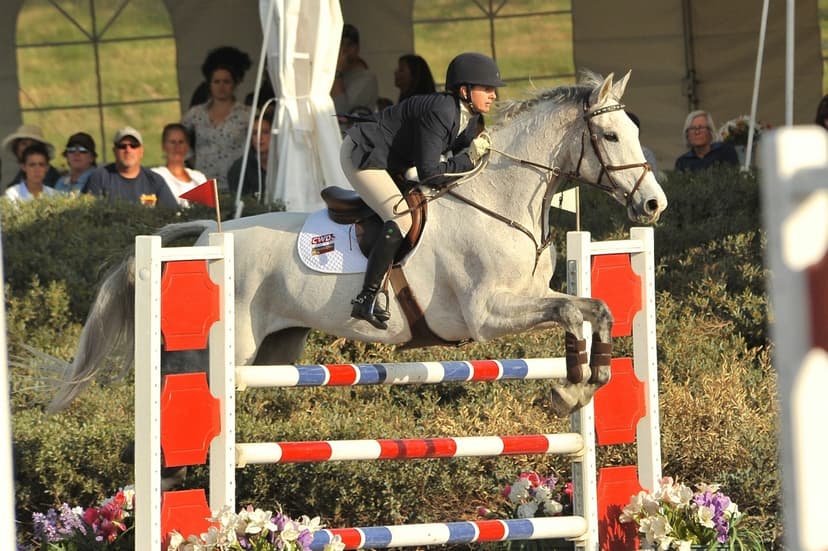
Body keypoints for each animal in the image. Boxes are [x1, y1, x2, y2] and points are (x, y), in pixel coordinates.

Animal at [46, 71, 667, 416]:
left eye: (637, 130)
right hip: (229, 350)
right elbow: (573, 310)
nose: (654, 206)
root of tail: (205, 233)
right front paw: (569, 393)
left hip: (276, 350)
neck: (502, 198)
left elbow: (591, 310)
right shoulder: (488, 314)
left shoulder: (532, 299)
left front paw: (578, 389)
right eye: (610, 135)